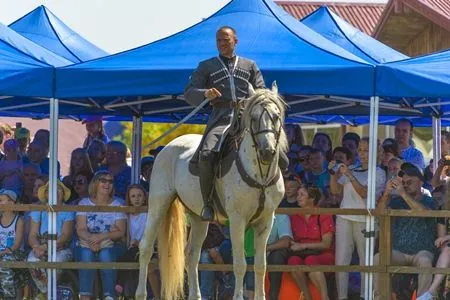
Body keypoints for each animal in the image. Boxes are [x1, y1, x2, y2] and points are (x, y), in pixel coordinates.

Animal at [135, 83, 286, 300]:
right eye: (254, 117)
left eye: (276, 116)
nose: (267, 151)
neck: (260, 175)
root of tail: (167, 148)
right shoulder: (237, 220)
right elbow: (240, 264)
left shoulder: (265, 221)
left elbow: (260, 266)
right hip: (158, 205)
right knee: (146, 248)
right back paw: (140, 294)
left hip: (199, 219)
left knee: (192, 255)